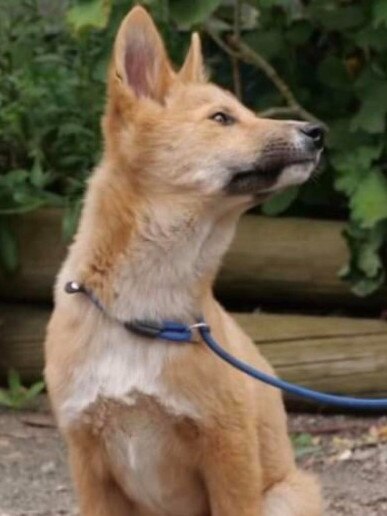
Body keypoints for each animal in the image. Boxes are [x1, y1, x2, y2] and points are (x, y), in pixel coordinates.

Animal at [44, 5, 324, 516]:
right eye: (222, 118)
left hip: (287, 495)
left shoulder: (229, 453)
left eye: (242, 111)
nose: (317, 132)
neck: (145, 313)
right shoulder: (88, 464)